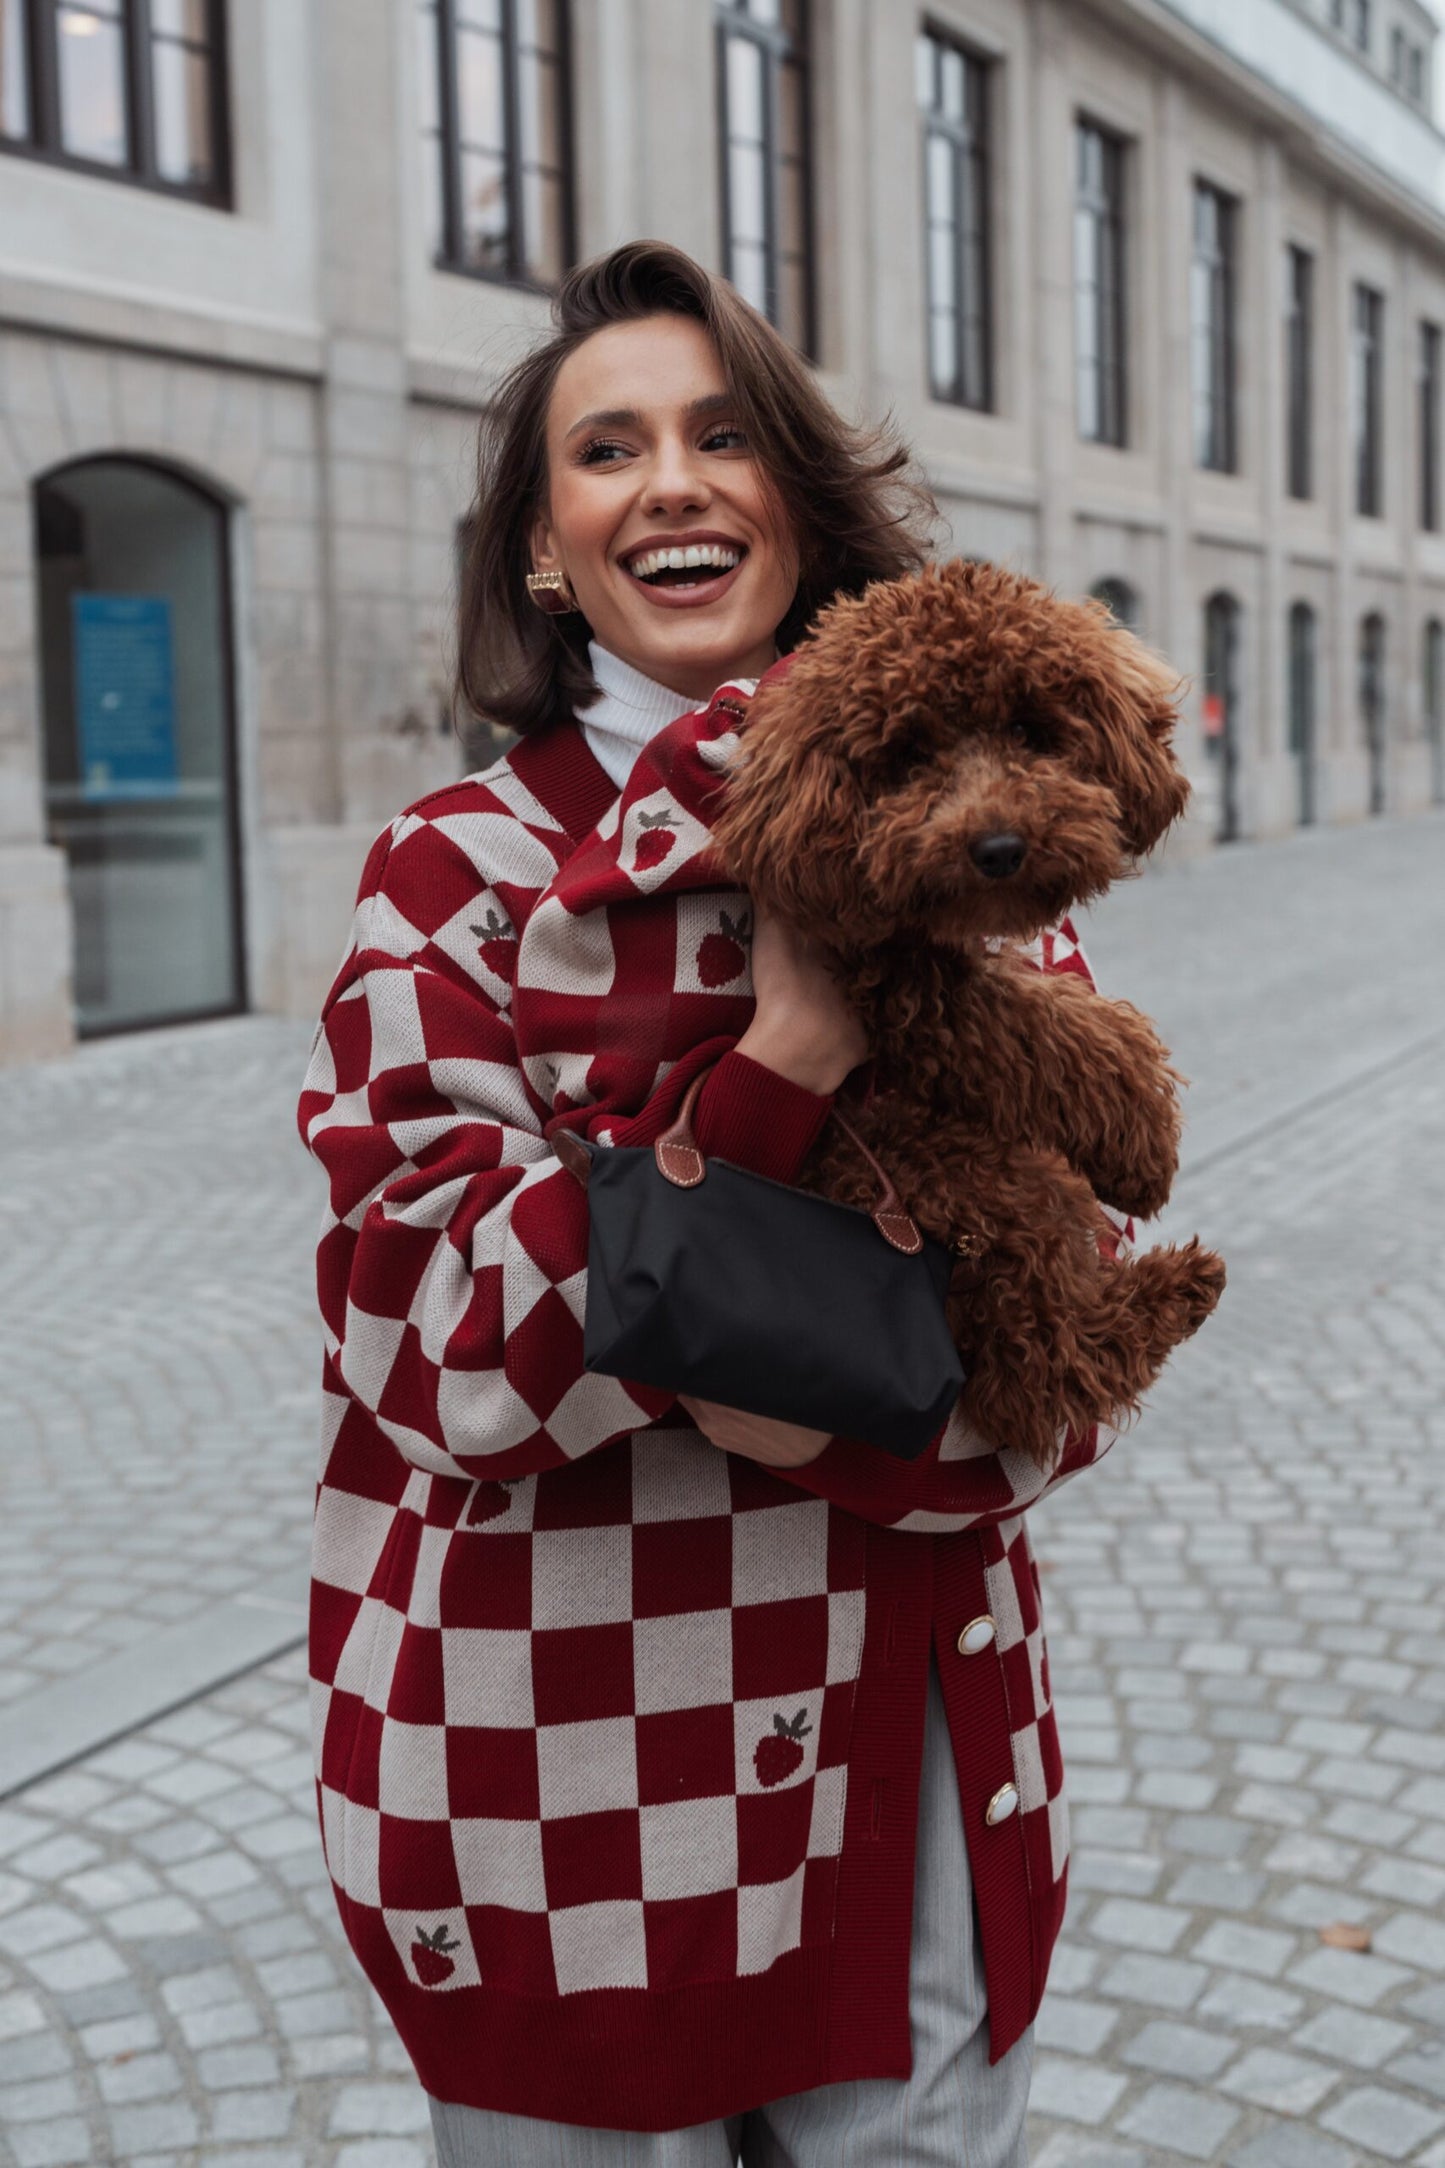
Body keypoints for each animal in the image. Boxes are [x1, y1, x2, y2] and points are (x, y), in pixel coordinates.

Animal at [719, 559, 1230, 1474]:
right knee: (1046, 1372)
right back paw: (1175, 1291)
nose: (997, 848)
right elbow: (1053, 1033)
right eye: (907, 753)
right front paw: (1143, 1149)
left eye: (1029, 728)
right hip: (983, 1179)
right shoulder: (906, 988)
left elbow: (1063, 1008)